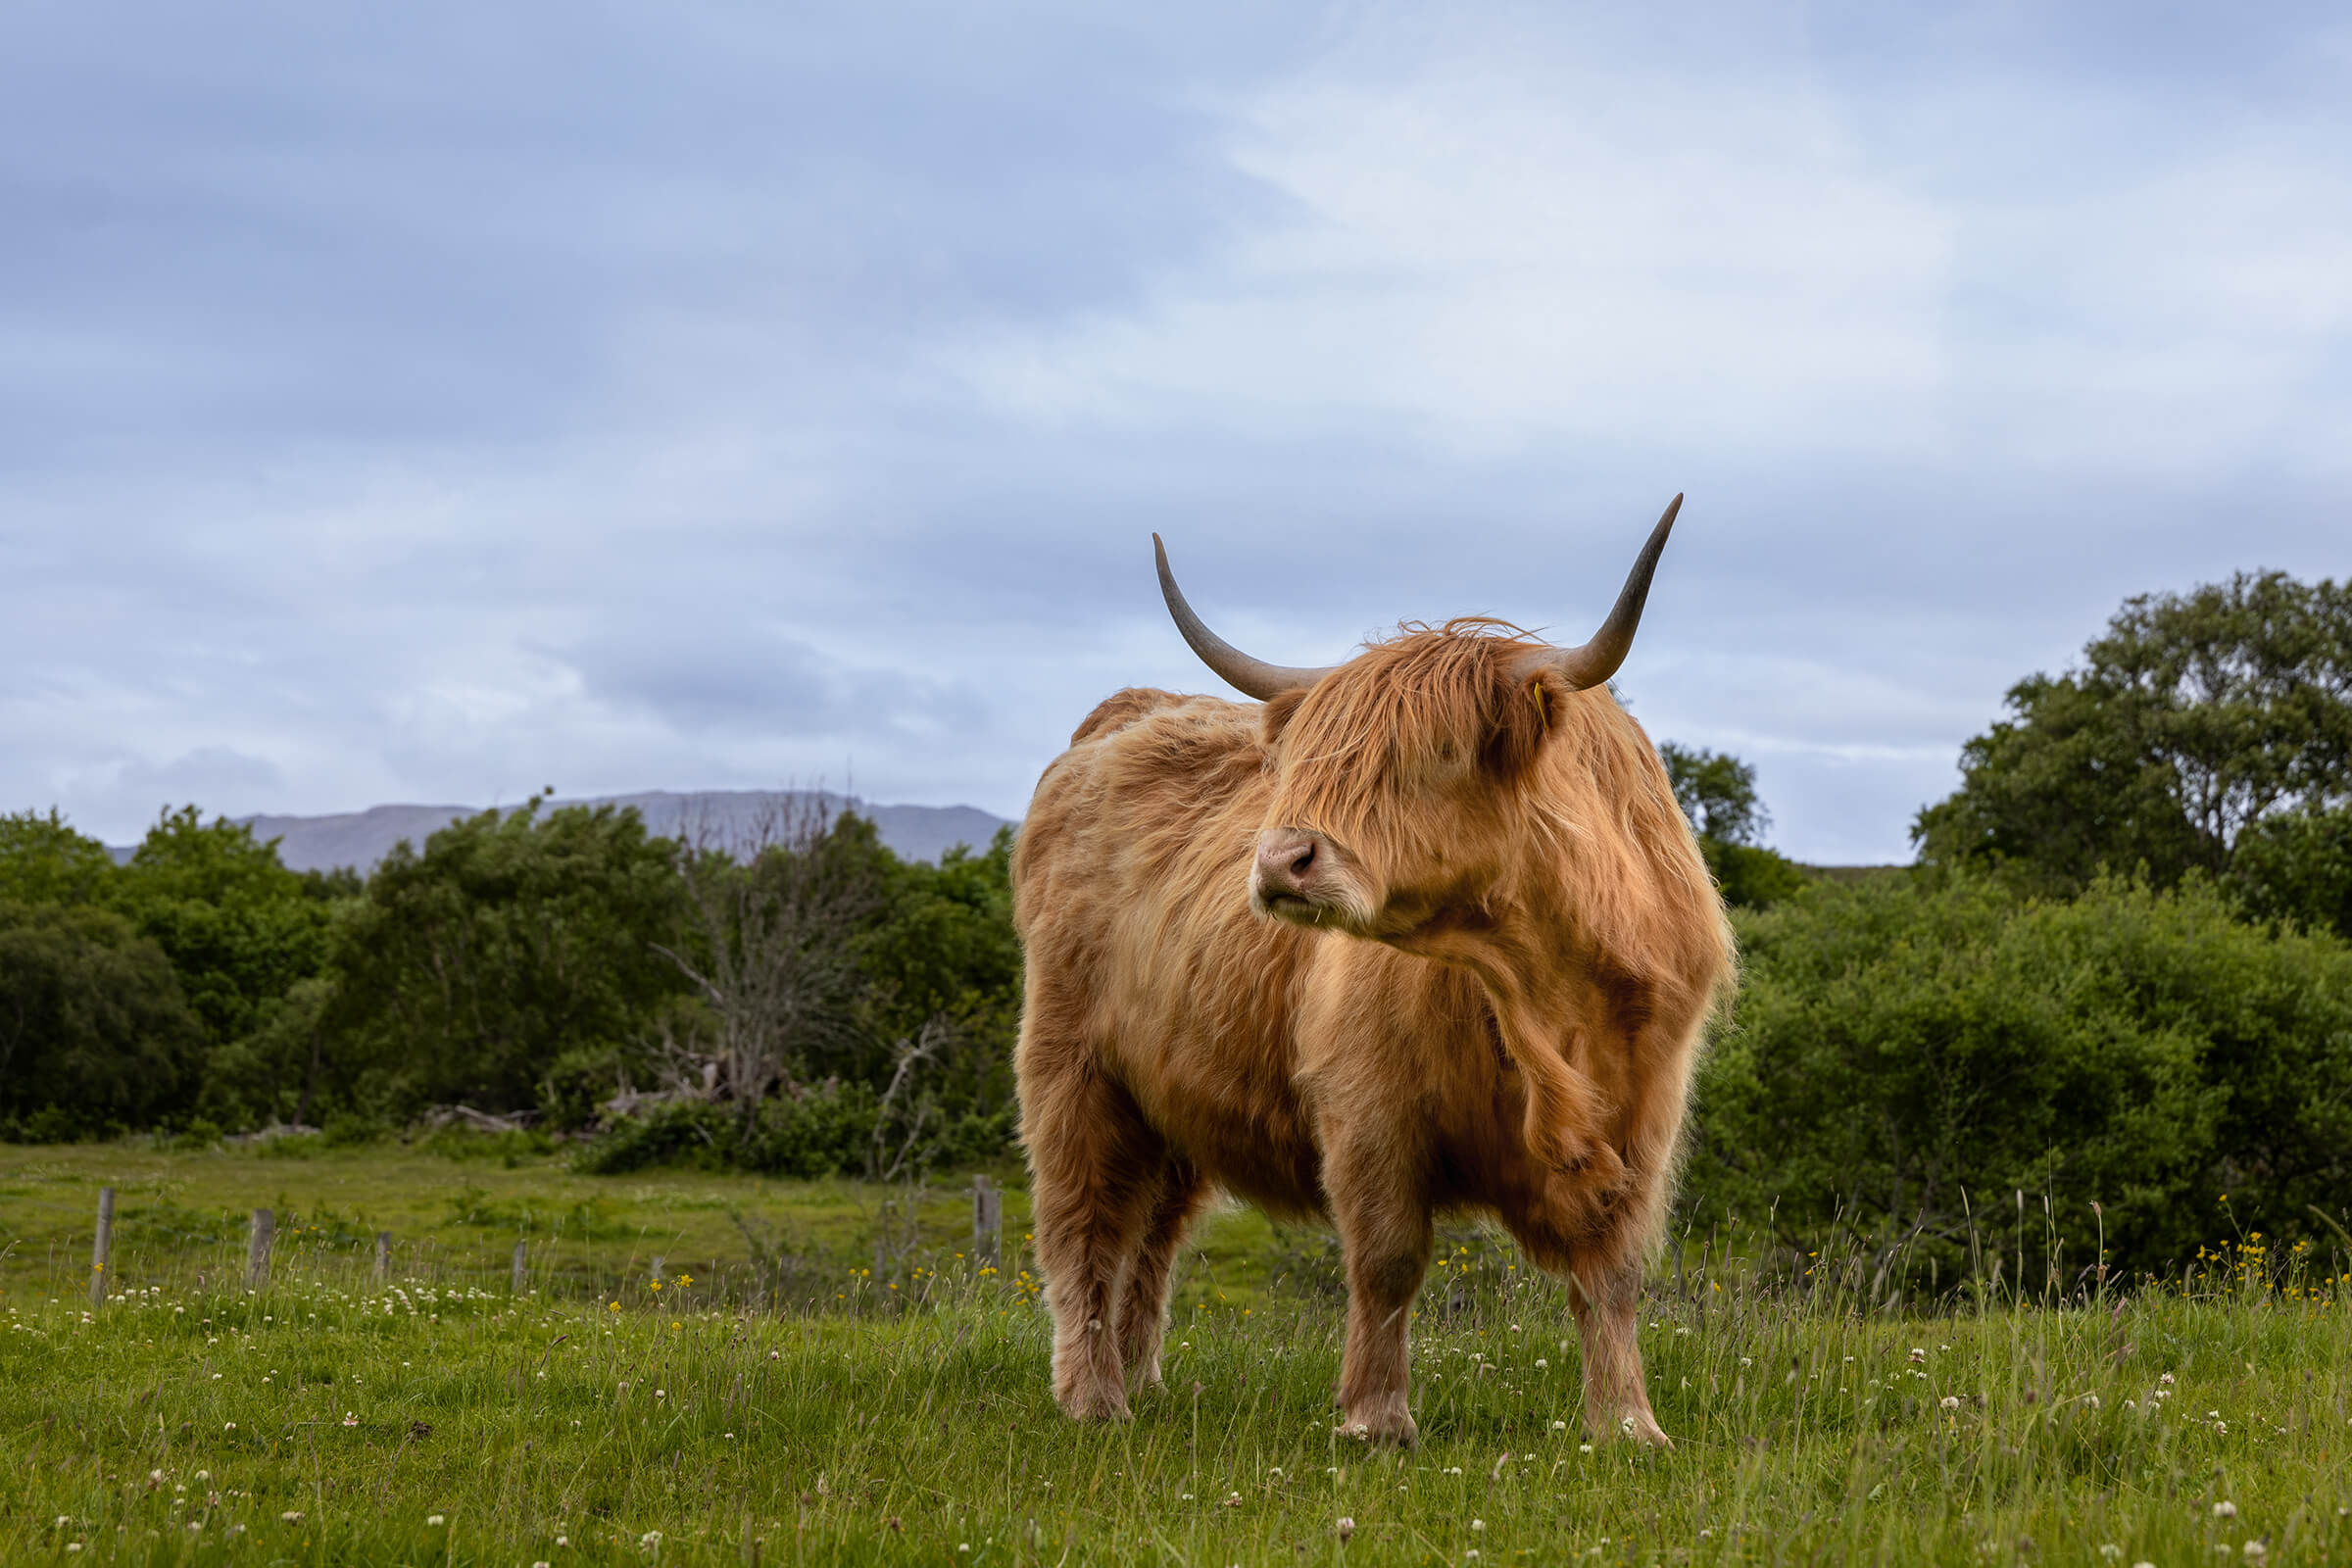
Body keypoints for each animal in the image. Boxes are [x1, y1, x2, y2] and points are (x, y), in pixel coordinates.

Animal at [1010, 498, 1734, 1447]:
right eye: (1307, 758)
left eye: (1437, 750)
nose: (1280, 861)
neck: (1544, 993)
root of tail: (1128, 710)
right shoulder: (1369, 1105)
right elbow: (1389, 1259)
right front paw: (1375, 1418)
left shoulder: (1645, 1115)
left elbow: (1610, 1273)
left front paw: (1627, 1425)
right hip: (1074, 1069)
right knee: (1085, 1224)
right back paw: (1095, 1400)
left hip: (1172, 1093)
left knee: (1152, 1234)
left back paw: (1147, 1382)